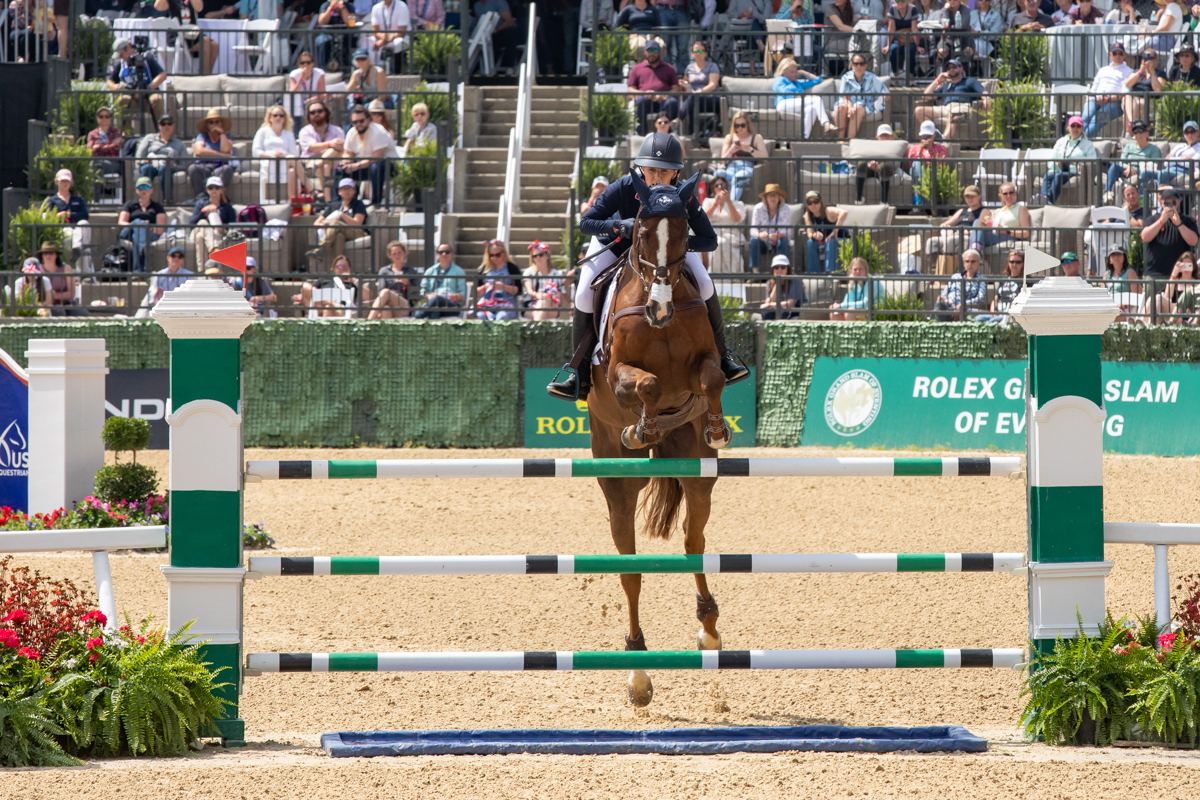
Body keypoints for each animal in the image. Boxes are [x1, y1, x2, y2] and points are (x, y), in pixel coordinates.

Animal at [585, 173, 734, 705]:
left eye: (686, 232)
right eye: (643, 233)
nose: (660, 309)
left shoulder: (701, 367)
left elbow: (711, 378)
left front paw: (717, 425)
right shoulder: (619, 375)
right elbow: (646, 385)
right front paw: (641, 426)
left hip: (695, 469)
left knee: (693, 539)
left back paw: (708, 627)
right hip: (616, 481)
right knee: (630, 569)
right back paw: (638, 673)